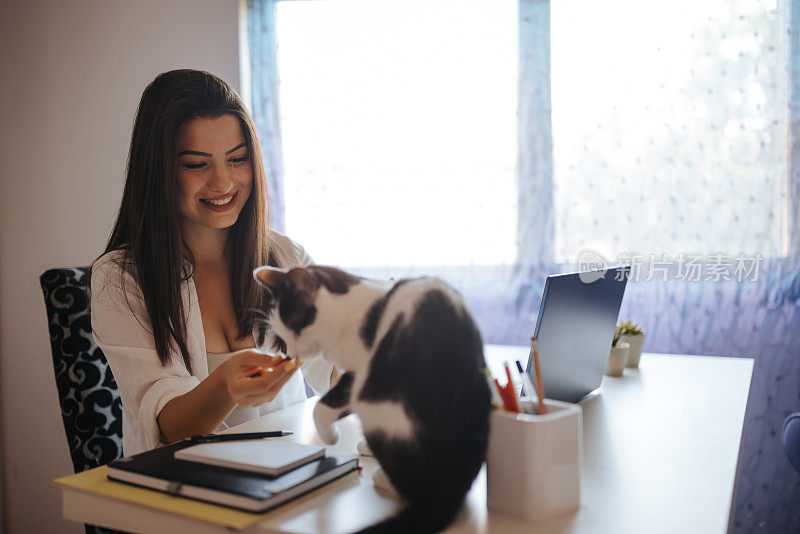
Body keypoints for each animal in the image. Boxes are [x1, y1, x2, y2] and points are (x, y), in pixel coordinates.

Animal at [253, 266, 490, 532]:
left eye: (297, 327)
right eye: (283, 335)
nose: (293, 353)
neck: (355, 311)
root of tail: (450, 492)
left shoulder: (357, 376)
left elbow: (321, 408)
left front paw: (330, 437)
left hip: (377, 406)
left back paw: (382, 477)